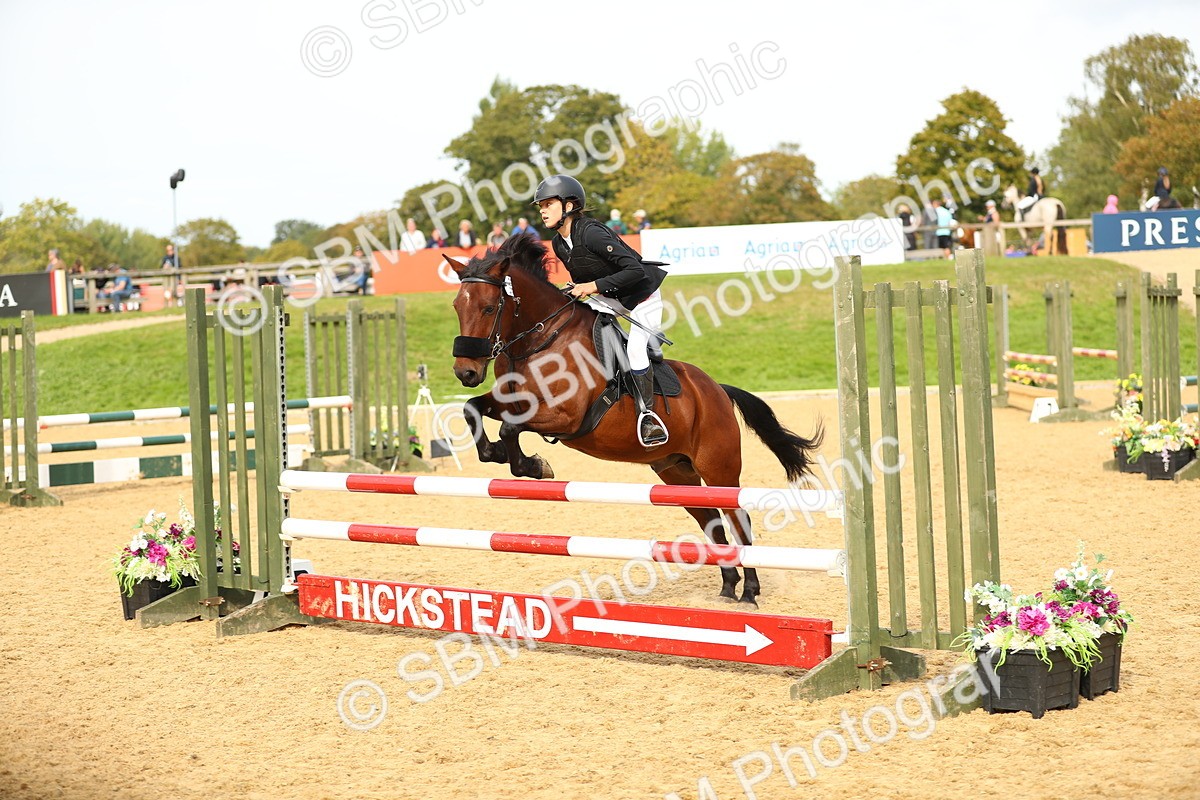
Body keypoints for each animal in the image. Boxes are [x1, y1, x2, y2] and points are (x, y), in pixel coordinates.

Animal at [446, 235, 824, 605]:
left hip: (720, 470)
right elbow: (473, 409)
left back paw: (749, 592)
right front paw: (497, 453)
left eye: (489, 307)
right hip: (676, 473)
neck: (541, 339)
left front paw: (535, 466)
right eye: (456, 307)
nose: (466, 372)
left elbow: (510, 427)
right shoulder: (511, 400)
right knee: (712, 522)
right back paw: (728, 588)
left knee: (738, 521)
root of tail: (717, 390)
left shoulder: (565, 417)